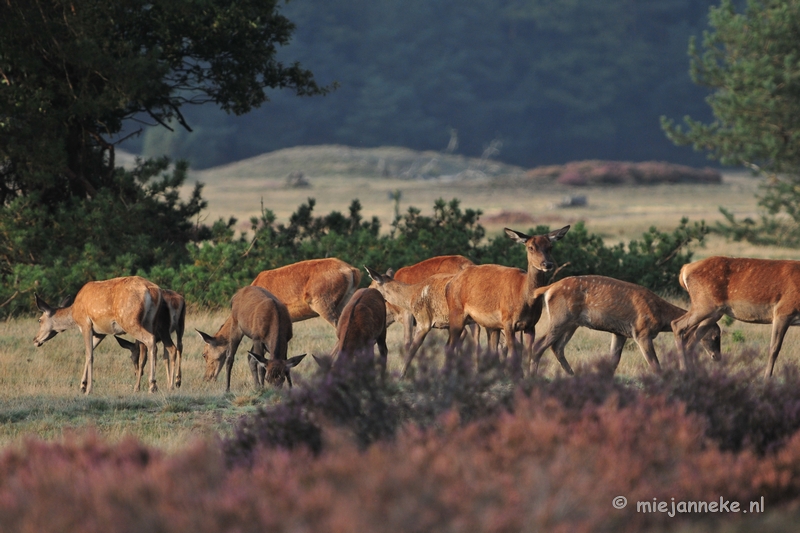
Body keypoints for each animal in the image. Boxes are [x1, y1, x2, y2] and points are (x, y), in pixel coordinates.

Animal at [33, 276, 165, 392]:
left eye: (39, 320)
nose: (35, 339)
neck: (74, 314)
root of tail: (153, 290)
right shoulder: (101, 333)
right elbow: (90, 353)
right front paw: (82, 385)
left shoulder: (85, 324)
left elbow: (89, 355)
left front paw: (88, 388)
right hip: (150, 321)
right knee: (146, 350)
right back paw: (143, 386)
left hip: (129, 320)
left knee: (151, 340)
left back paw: (152, 385)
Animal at [444, 225, 568, 374]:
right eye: (531, 247)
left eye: (550, 246)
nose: (547, 264)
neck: (525, 299)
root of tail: (449, 284)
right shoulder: (508, 322)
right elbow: (514, 354)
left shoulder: (531, 325)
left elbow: (528, 355)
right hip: (456, 313)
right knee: (449, 345)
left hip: (491, 325)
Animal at [528, 274, 720, 374]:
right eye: (715, 336)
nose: (717, 357)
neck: (661, 317)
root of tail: (547, 289)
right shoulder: (641, 332)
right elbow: (655, 365)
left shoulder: (620, 333)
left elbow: (613, 363)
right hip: (560, 318)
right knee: (539, 345)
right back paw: (533, 376)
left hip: (572, 323)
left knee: (557, 347)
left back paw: (572, 375)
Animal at [672, 256, 800, 376]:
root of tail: (685, 269)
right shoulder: (783, 311)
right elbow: (774, 349)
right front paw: (767, 378)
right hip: (704, 304)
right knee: (677, 325)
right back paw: (684, 370)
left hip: (714, 312)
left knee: (690, 340)